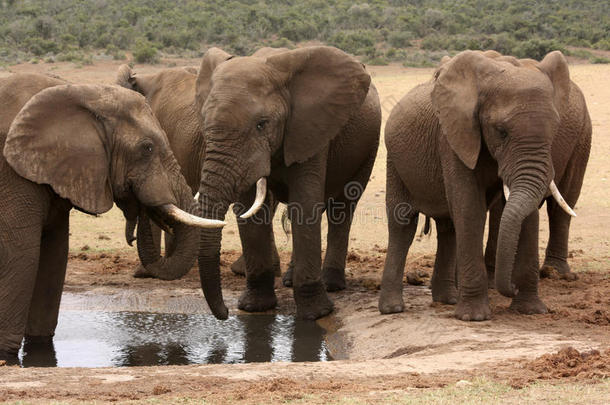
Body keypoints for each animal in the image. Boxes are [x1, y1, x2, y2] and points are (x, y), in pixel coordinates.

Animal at [0, 74, 223, 358]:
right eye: (147, 148)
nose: (226, 315)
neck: (81, 92)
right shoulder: (12, 173)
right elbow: (22, 254)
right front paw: (5, 354)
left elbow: (55, 255)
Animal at [191, 46, 380, 318]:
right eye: (205, 122)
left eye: (262, 125)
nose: (225, 313)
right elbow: (249, 211)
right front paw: (254, 307)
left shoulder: (310, 129)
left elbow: (305, 205)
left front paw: (316, 313)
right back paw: (290, 280)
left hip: (367, 148)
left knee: (342, 210)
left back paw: (331, 283)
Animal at [378, 49, 588, 318]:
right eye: (501, 131)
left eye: (555, 128)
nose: (511, 287)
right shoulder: (453, 138)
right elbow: (470, 208)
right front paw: (474, 317)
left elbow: (526, 214)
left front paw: (531, 311)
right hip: (394, 160)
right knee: (403, 223)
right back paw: (393, 309)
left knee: (449, 226)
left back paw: (447, 300)